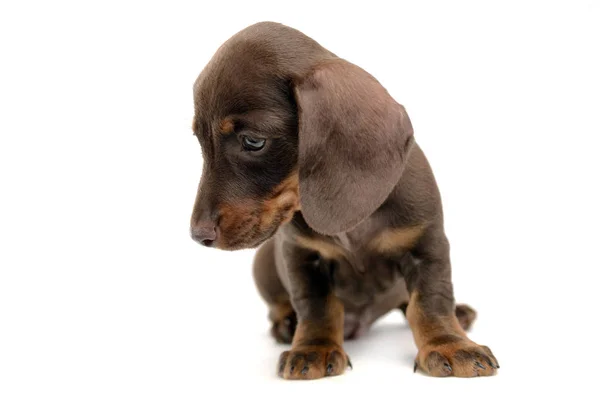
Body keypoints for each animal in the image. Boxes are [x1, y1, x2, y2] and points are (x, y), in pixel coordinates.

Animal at [191, 22, 496, 382]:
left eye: (253, 141)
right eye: (200, 141)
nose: (198, 235)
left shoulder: (427, 244)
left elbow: (430, 301)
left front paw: (448, 344)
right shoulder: (301, 256)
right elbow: (317, 305)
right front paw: (314, 348)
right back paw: (286, 324)